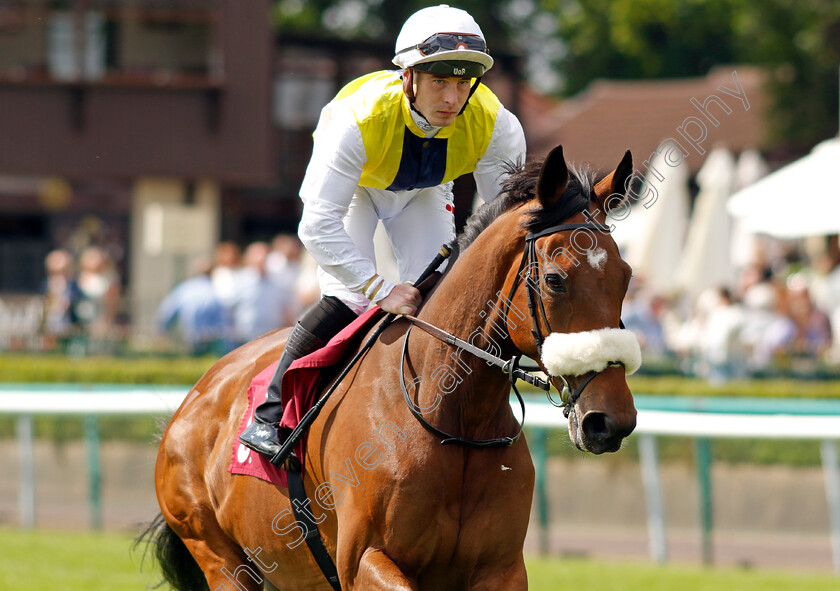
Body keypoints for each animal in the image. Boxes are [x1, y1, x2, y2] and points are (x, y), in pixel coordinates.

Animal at [148, 146, 640, 588]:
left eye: (626, 276)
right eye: (555, 280)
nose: (610, 420)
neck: (454, 417)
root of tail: (193, 397)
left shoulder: (500, 569)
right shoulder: (365, 560)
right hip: (220, 558)